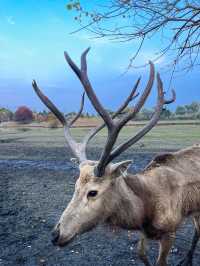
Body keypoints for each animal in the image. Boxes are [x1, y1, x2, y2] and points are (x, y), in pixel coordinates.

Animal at [32, 48, 200, 266]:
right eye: (75, 186)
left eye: (93, 192)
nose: (55, 234)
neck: (145, 212)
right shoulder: (144, 233)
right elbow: (141, 253)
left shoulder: (170, 230)